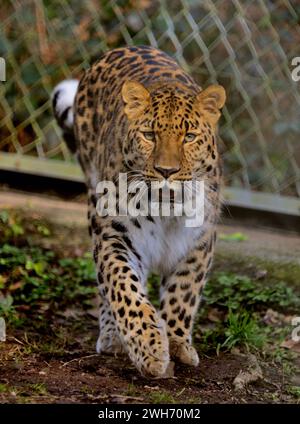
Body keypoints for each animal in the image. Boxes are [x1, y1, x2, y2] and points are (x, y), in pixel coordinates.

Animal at [51, 45, 225, 378]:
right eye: (149, 135)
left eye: (189, 137)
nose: (167, 171)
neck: (167, 207)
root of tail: (123, 48)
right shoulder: (115, 235)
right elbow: (125, 290)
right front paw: (151, 349)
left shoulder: (199, 241)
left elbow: (183, 293)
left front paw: (176, 342)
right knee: (106, 286)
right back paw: (111, 337)